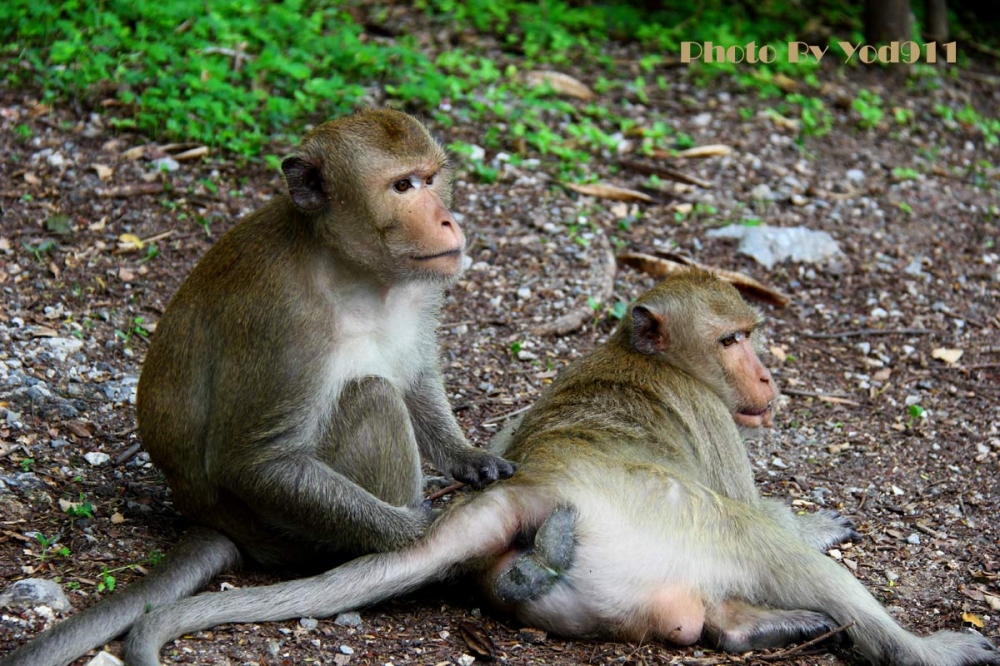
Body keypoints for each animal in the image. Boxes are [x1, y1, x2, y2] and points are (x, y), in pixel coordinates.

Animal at [0, 109, 512, 664]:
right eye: (402, 186)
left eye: (431, 178)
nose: (447, 220)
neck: (351, 269)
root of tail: (213, 521)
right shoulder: (285, 322)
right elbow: (254, 462)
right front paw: (421, 528)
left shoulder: (418, 292)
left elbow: (418, 382)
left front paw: (471, 459)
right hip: (289, 534)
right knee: (371, 396)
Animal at [123, 268, 1000, 664]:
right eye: (732, 340)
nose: (766, 378)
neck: (643, 357)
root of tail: (539, 488)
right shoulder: (717, 424)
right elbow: (762, 508)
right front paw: (814, 525)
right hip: (672, 519)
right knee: (761, 543)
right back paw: (919, 648)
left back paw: (751, 625)